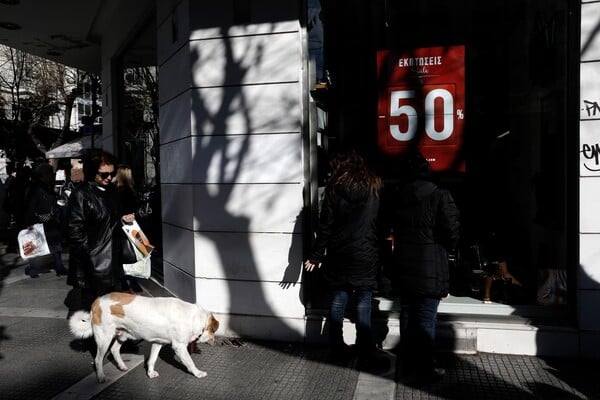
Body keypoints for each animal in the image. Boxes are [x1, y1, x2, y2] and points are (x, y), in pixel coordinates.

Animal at [69, 292, 220, 382]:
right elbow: (190, 362)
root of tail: (97, 301)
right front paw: (198, 373)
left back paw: (122, 366)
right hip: (104, 339)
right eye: (213, 331)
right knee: (98, 359)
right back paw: (101, 377)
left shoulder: (158, 343)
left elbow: (152, 359)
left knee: (114, 350)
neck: (193, 317)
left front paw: (150, 373)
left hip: (122, 335)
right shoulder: (179, 347)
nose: (214, 341)